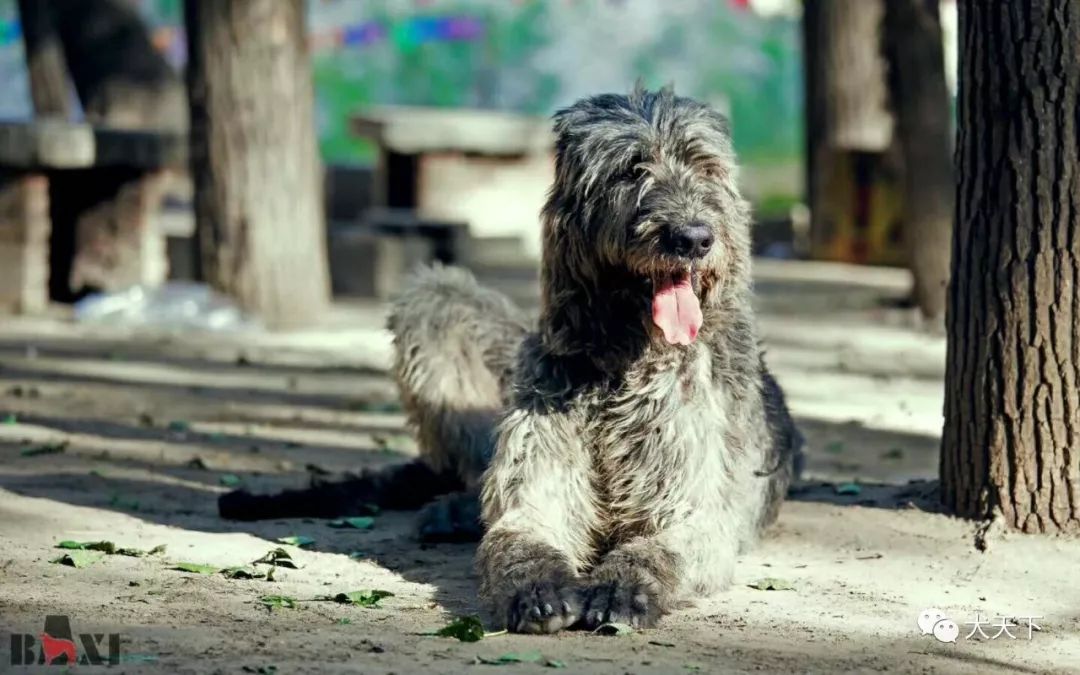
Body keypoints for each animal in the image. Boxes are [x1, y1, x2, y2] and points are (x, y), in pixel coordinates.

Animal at [214, 85, 799, 630]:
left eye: (706, 167)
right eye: (632, 170)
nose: (693, 237)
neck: (622, 361)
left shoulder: (696, 514)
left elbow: (660, 549)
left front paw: (622, 588)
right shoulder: (532, 498)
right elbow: (520, 537)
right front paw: (538, 589)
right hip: (436, 297)